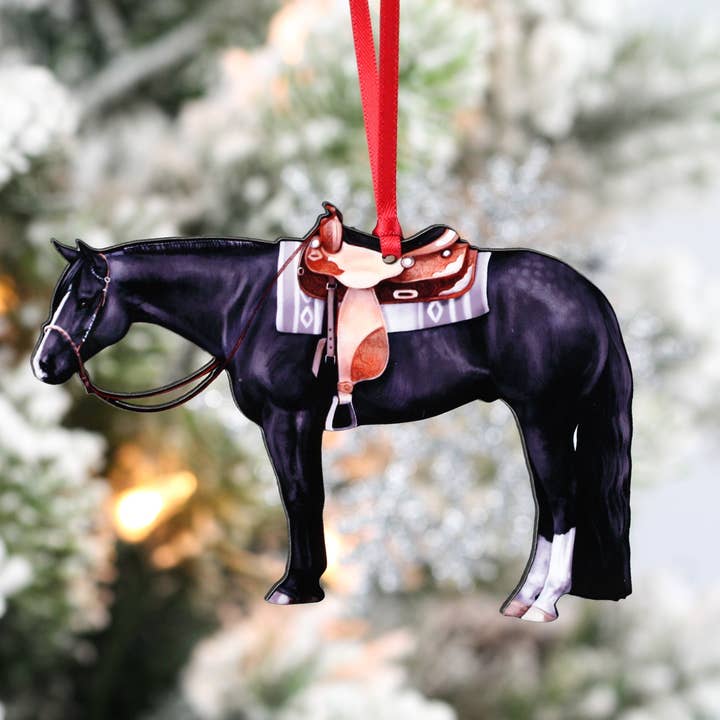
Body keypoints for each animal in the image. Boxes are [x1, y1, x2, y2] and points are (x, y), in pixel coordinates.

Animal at [31, 205, 633, 622]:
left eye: (85, 300)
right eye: (60, 294)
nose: (43, 364)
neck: (246, 302)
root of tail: (589, 294)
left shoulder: (288, 418)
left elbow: (300, 498)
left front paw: (295, 587)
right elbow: (305, 496)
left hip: (545, 418)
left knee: (561, 500)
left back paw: (544, 603)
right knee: (548, 506)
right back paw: (522, 598)